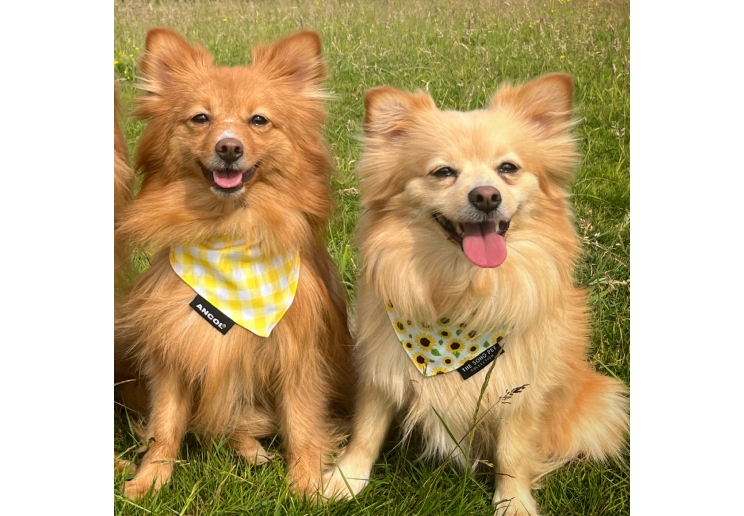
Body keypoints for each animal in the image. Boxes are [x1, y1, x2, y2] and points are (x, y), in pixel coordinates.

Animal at [116, 27, 354, 500]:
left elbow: (302, 424)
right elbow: (165, 426)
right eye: (200, 119)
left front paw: (304, 487)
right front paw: (149, 480)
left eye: (258, 120)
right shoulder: (173, 349)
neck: (230, 236)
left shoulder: (299, 356)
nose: (229, 147)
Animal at [322, 73, 632, 516]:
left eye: (508, 168)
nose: (486, 195)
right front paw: (347, 480)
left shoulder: (521, 387)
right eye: (443, 172)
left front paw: (514, 501)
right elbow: (367, 429)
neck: (463, 291)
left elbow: (513, 452)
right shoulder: (380, 365)